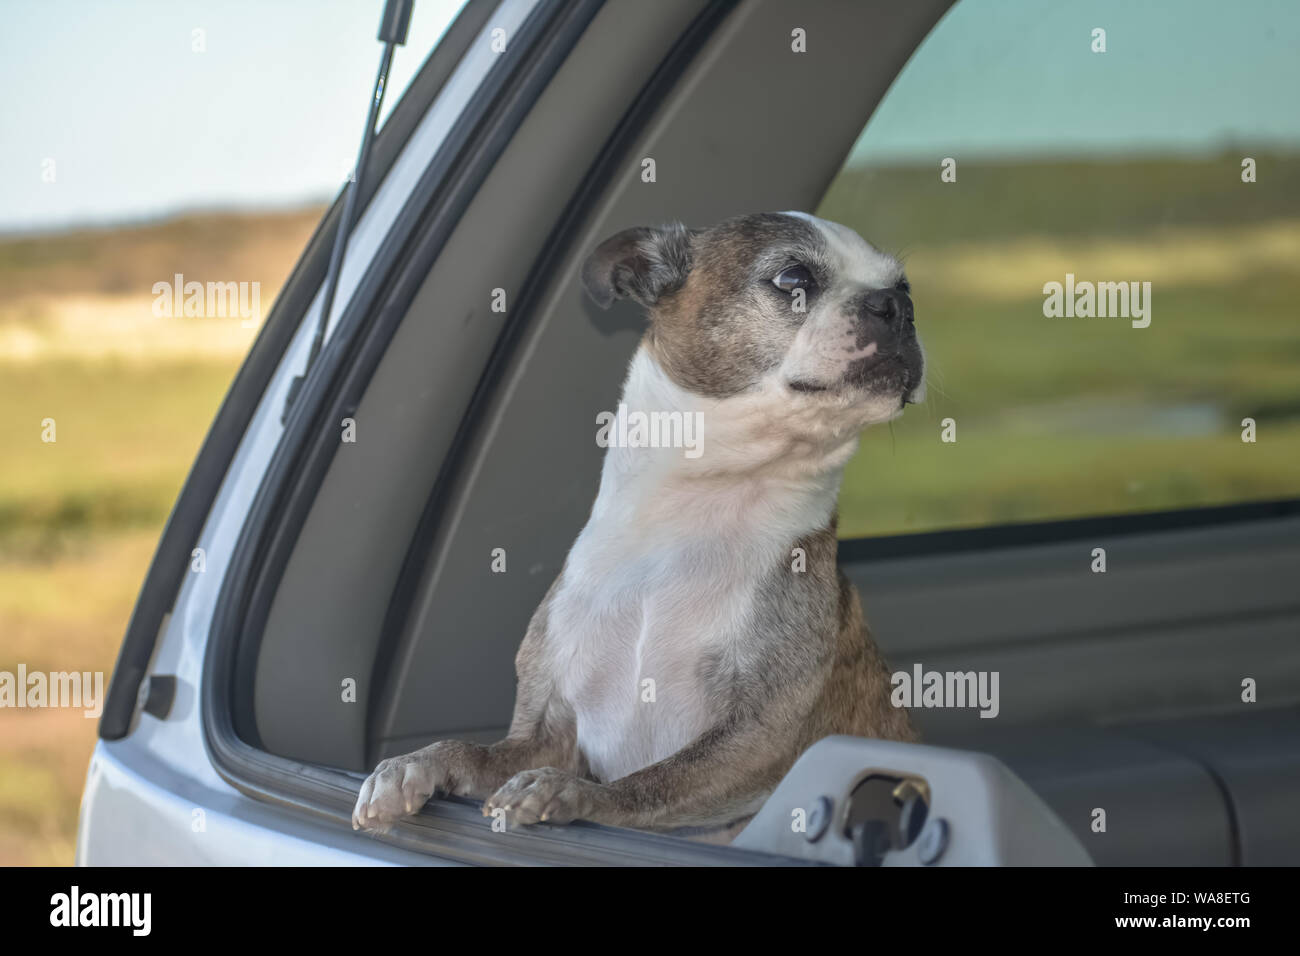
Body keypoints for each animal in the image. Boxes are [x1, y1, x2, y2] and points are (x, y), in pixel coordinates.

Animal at [353, 210, 925, 837]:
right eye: (794, 277)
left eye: (904, 285)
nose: (897, 305)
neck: (696, 514)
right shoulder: (545, 732)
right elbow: (472, 750)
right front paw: (412, 764)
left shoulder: (758, 737)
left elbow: (649, 784)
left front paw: (570, 792)